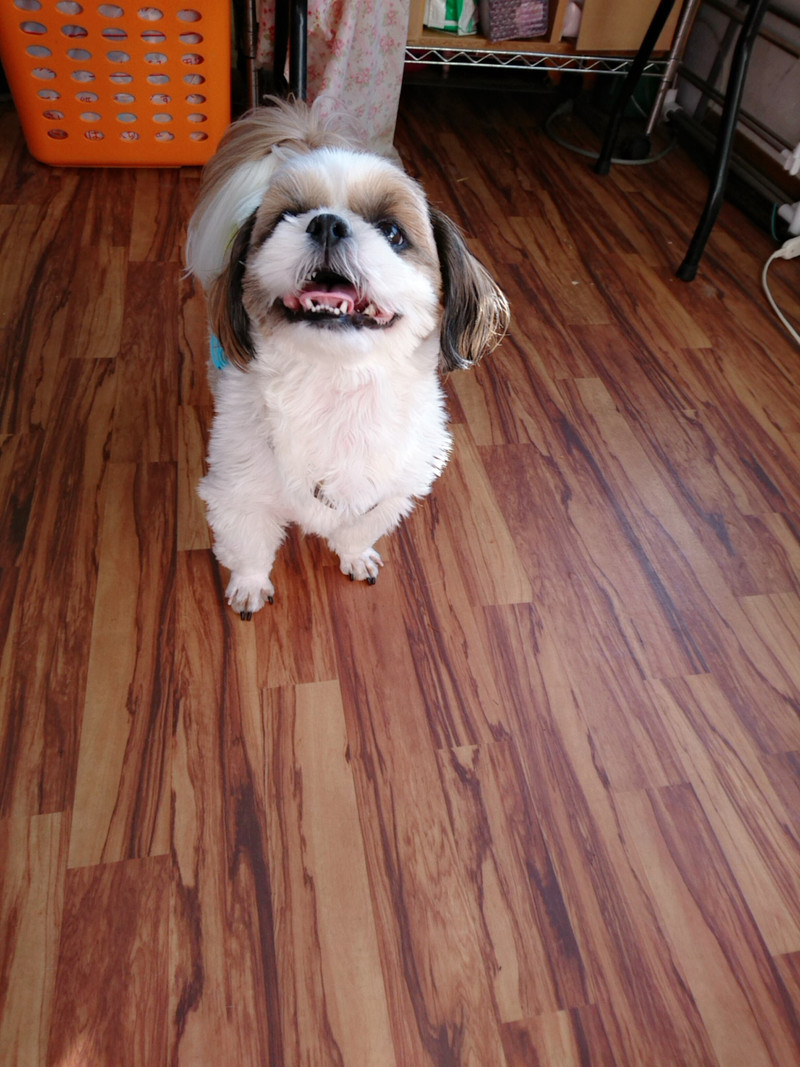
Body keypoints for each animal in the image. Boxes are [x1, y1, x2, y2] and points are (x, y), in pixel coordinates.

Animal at [185, 97, 509, 618]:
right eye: (286, 217)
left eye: (392, 232)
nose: (326, 222)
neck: (338, 389)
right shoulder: (238, 493)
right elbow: (249, 545)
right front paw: (250, 585)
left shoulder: (391, 489)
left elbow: (358, 527)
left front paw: (355, 556)